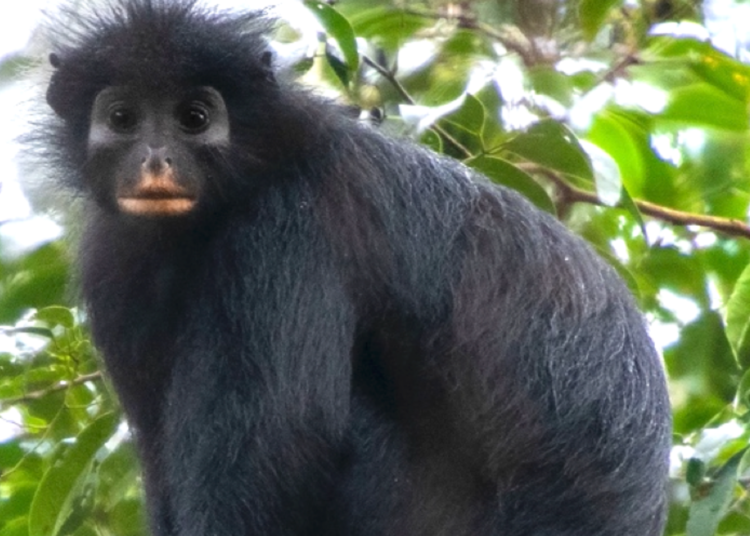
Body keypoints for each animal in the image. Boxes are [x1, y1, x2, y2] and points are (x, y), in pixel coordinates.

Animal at [38, 1, 671, 535]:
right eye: (123, 117)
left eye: (193, 117)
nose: (155, 159)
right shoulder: (115, 262)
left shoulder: (288, 226)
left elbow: (283, 444)